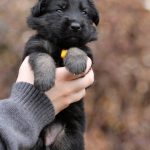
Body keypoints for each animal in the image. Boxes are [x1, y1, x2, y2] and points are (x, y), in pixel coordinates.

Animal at [23, 0, 98, 149]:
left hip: (66, 137)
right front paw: (45, 79)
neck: (62, 45)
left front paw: (76, 61)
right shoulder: (35, 45)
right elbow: (43, 56)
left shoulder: (89, 59)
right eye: (59, 10)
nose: (76, 26)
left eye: (84, 12)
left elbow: (79, 48)